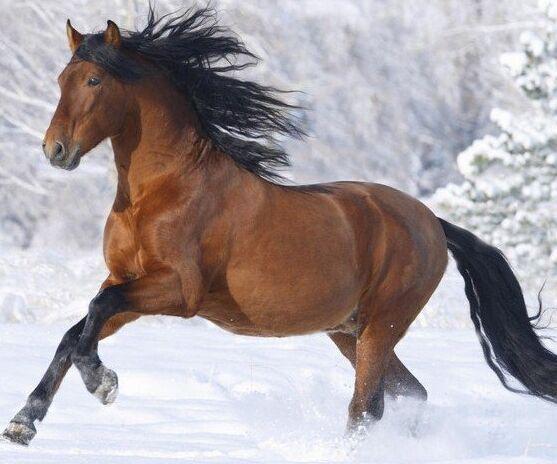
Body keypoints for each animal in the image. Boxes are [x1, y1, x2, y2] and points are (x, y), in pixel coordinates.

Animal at [2, 4, 552, 446]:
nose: (54, 150)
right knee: (408, 393)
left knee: (365, 408)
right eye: (60, 81)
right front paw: (24, 422)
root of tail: (432, 221)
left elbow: (95, 313)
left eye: (94, 81)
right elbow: (76, 331)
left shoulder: (178, 291)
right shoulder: (127, 281)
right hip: (349, 331)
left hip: (382, 326)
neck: (161, 191)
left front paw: (103, 383)